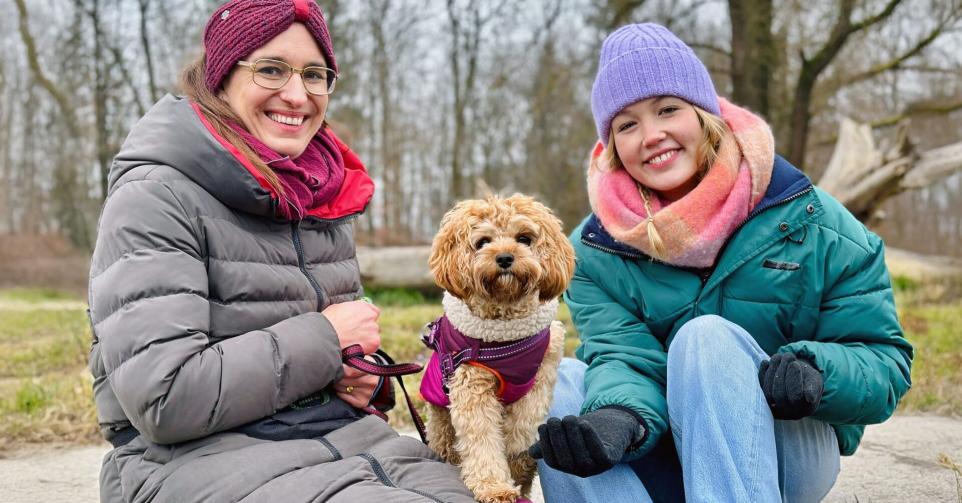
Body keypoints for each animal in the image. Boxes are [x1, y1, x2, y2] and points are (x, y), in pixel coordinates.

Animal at [420, 194, 575, 503]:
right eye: (482, 242)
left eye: (524, 238)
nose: (504, 258)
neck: (506, 336)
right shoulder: (471, 383)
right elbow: (482, 439)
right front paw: (495, 487)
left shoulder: (541, 375)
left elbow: (523, 426)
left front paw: (516, 458)